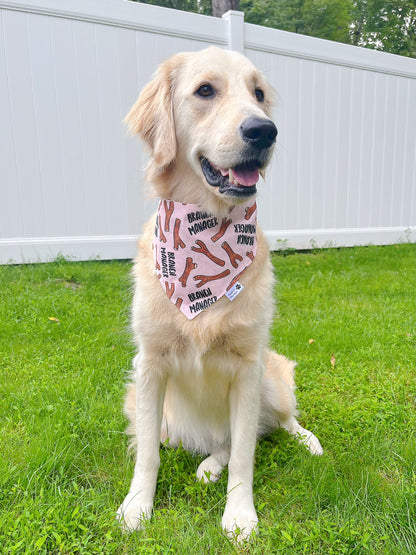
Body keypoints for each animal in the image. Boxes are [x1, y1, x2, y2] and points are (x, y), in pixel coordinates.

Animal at [117, 47, 322, 544]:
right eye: (205, 90)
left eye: (259, 93)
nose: (264, 131)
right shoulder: (148, 365)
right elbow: (147, 454)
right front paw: (137, 506)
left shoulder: (248, 368)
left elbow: (246, 454)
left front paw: (241, 516)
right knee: (218, 442)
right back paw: (209, 464)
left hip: (271, 377)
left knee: (275, 424)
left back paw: (306, 442)